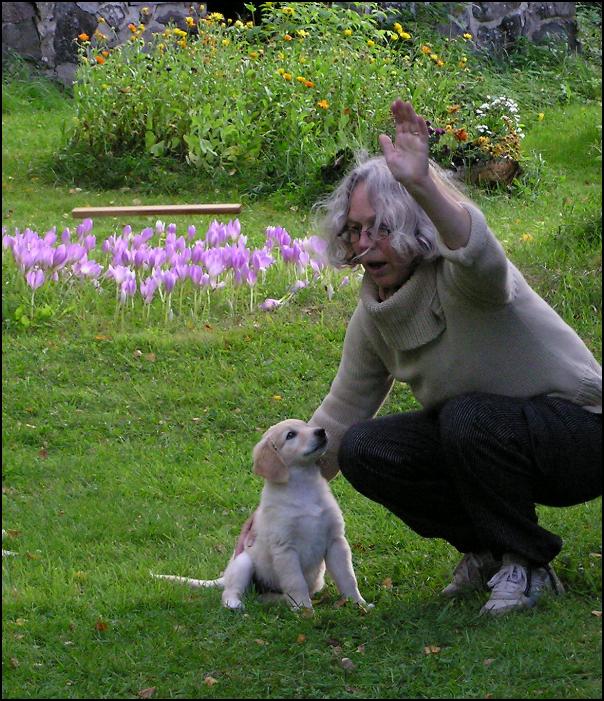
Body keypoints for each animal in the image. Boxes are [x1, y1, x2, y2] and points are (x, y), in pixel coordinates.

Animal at [151, 418, 368, 608]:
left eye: (307, 425)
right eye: (290, 435)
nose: (321, 431)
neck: (304, 486)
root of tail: (225, 575)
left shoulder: (336, 541)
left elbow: (347, 577)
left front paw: (358, 604)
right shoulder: (285, 549)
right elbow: (295, 583)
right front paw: (305, 611)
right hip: (243, 562)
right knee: (230, 591)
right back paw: (235, 604)